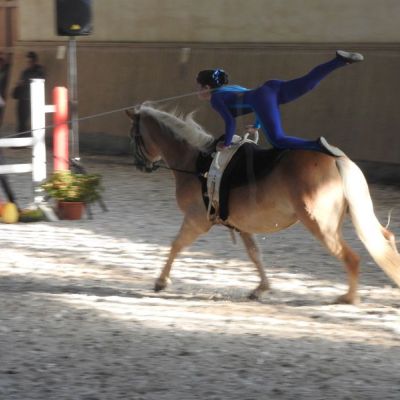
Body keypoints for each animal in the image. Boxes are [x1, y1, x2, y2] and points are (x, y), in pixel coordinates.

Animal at [126, 104, 400, 304]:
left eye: (134, 135)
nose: (141, 165)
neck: (196, 162)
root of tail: (336, 159)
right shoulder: (240, 224)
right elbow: (255, 254)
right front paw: (261, 288)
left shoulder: (197, 220)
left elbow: (176, 246)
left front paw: (161, 282)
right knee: (386, 238)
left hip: (321, 225)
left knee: (352, 258)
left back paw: (349, 298)